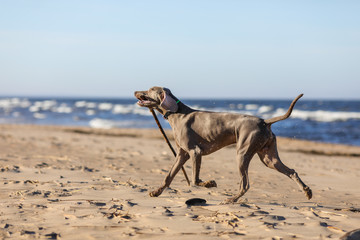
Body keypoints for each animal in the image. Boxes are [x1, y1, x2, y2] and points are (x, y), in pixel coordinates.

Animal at [135, 87, 312, 203]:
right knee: (291, 171)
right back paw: (307, 191)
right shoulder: (182, 154)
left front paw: (209, 183)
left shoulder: (195, 151)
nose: (135, 92)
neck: (177, 113)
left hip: (242, 153)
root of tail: (264, 121)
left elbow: (194, 180)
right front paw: (156, 192)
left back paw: (231, 199)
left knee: (245, 184)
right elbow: (169, 176)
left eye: (150, 89)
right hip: (268, 157)